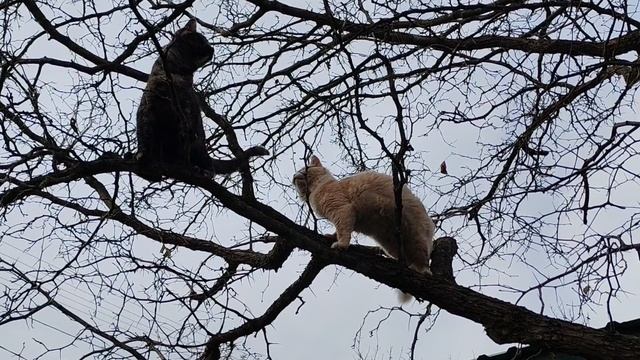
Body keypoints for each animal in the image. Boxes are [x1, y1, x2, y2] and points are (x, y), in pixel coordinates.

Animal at [136, 19, 268, 179]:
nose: (212, 48)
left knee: (208, 165)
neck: (175, 74)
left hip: (199, 145)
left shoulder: (186, 111)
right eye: (200, 40)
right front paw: (142, 155)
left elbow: (183, 140)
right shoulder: (147, 108)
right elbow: (144, 135)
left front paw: (181, 164)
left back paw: (199, 170)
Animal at [294, 155, 436, 278]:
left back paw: (423, 271)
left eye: (305, 169)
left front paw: (341, 245)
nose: (294, 176)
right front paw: (332, 236)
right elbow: (339, 230)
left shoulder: (341, 210)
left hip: (417, 239)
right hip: (391, 247)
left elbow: (343, 231)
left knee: (424, 263)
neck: (317, 188)